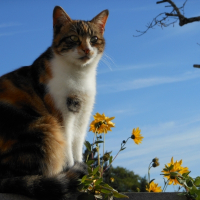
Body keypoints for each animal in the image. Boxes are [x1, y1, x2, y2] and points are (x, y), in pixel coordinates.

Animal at [0, 5, 108, 199]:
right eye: (73, 38)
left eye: (94, 39)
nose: (87, 50)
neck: (79, 76)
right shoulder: (61, 114)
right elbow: (68, 150)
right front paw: (76, 178)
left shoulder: (83, 115)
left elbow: (77, 147)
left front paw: (84, 183)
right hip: (45, 128)